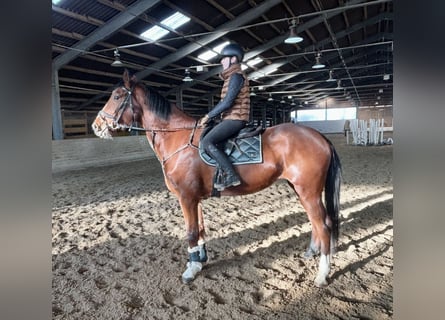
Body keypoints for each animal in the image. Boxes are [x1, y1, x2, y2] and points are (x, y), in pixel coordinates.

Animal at [90, 70, 340, 288]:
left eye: (117, 96)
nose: (96, 125)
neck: (177, 138)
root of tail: (319, 137)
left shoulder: (186, 198)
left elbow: (191, 232)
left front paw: (190, 271)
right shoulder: (195, 199)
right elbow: (200, 229)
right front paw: (200, 261)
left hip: (308, 191)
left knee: (323, 225)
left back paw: (322, 275)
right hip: (300, 189)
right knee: (316, 222)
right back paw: (311, 253)